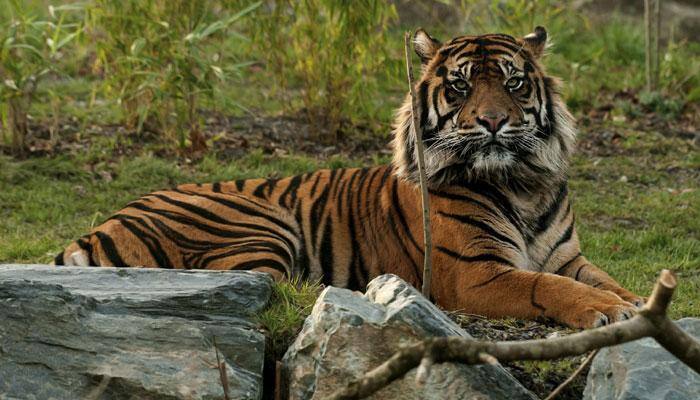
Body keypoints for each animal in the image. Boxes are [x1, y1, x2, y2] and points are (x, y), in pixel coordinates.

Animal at [55, 26, 644, 329]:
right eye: (460, 87)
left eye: (514, 82)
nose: (494, 121)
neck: (522, 184)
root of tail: (101, 224)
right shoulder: (477, 274)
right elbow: (548, 286)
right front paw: (607, 310)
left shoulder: (569, 257)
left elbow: (600, 279)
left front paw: (635, 302)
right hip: (260, 226)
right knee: (269, 287)